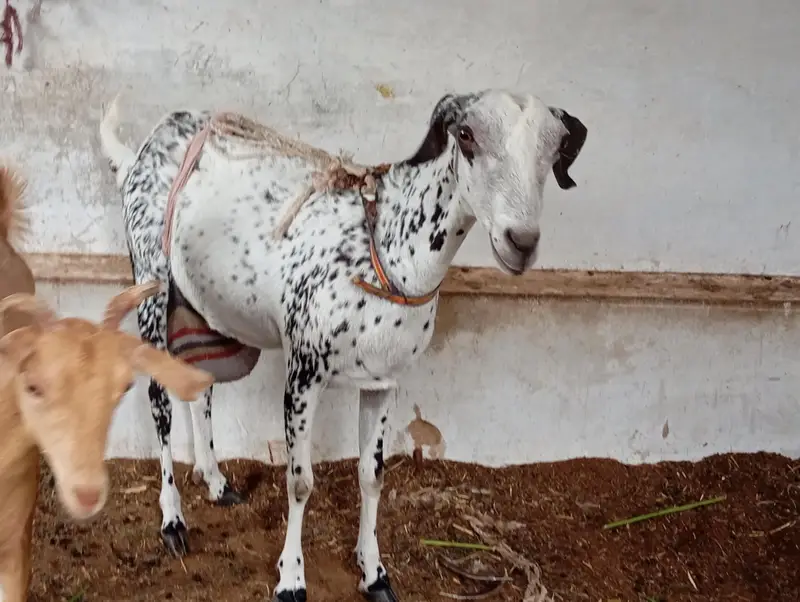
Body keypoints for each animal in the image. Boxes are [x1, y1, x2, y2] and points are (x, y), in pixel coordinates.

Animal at [98, 89, 588, 602]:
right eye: (467, 134)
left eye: (556, 146)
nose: (521, 241)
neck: (385, 248)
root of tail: (139, 151)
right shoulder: (303, 372)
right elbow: (299, 481)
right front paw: (291, 578)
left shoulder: (383, 381)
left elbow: (372, 477)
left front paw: (375, 573)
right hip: (150, 281)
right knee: (159, 402)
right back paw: (173, 520)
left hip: (202, 303)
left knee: (199, 386)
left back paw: (215, 481)